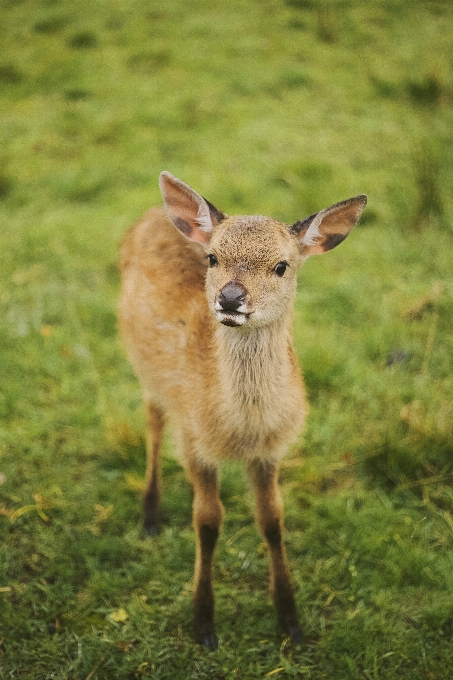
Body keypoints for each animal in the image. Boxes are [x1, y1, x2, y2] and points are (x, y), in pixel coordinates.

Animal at [118, 170, 366, 648]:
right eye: (213, 258)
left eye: (282, 265)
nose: (230, 298)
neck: (240, 429)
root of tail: (154, 213)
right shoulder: (194, 440)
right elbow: (207, 521)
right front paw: (203, 624)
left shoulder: (270, 450)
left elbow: (272, 519)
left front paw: (291, 621)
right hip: (146, 369)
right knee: (153, 419)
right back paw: (149, 517)